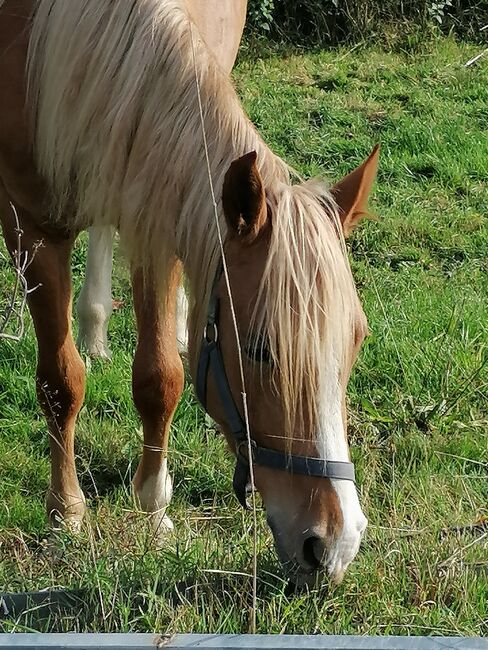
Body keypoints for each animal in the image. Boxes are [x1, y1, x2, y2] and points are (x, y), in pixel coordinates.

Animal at [0, 0, 380, 584]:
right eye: (259, 350)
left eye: (356, 342)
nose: (335, 545)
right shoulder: (28, 227)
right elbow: (61, 382)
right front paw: (66, 513)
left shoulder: (157, 207)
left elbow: (160, 378)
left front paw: (154, 507)